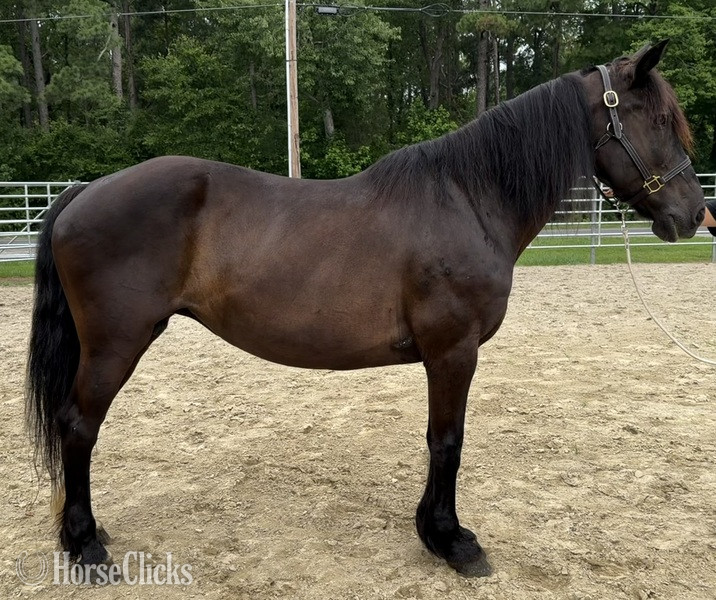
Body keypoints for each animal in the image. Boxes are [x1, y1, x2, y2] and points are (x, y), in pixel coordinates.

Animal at [26, 40, 704, 577]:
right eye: (658, 119)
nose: (694, 215)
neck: (468, 198)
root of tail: (86, 190)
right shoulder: (453, 351)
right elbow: (448, 440)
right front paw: (452, 542)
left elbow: (437, 439)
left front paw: (433, 531)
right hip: (116, 344)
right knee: (78, 426)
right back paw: (85, 547)